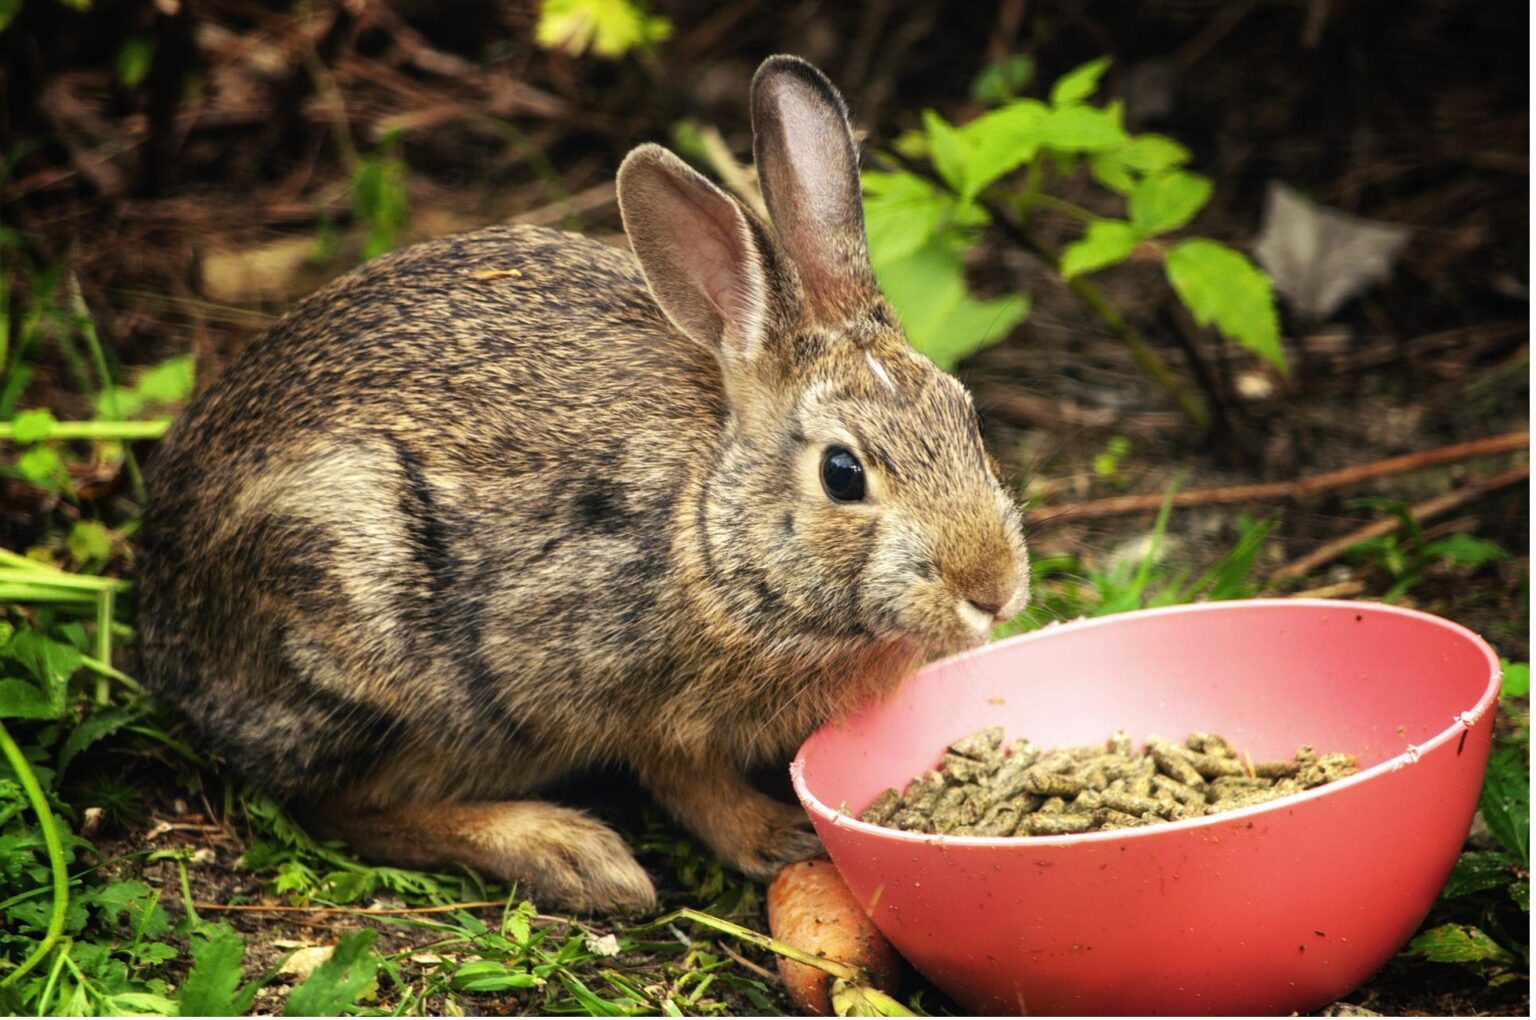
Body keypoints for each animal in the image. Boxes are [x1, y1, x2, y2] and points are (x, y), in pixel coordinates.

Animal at [137, 55, 1029, 913]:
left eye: (966, 416)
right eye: (843, 474)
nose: (994, 590)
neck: (713, 528)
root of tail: (166, 634)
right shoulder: (611, 683)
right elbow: (683, 779)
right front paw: (777, 835)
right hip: (357, 615)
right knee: (338, 808)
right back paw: (571, 856)